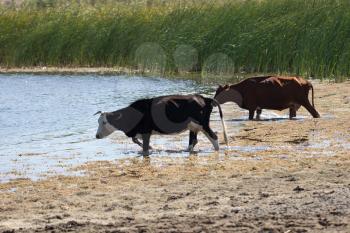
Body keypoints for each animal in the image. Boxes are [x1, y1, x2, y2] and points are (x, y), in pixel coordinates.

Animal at [94, 93, 228, 156]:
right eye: (98, 121)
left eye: (104, 122)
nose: (97, 136)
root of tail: (204, 98)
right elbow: (135, 140)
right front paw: (153, 148)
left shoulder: (146, 131)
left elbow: (145, 148)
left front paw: (149, 149)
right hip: (193, 127)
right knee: (193, 140)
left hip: (203, 124)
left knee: (214, 137)